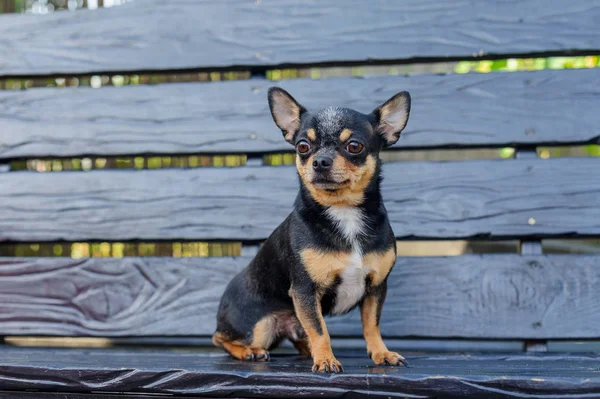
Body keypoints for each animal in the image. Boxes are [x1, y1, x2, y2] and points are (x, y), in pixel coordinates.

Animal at [212, 86, 412, 374]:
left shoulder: (376, 289)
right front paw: (326, 360)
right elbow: (320, 329)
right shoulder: (305, 291)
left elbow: (371, 326)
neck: (343, 211)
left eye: (354, 146)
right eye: (303, 147)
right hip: (260, 326)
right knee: (220, 338)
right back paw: (250, 352)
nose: (320, 161)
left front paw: (381, 353)